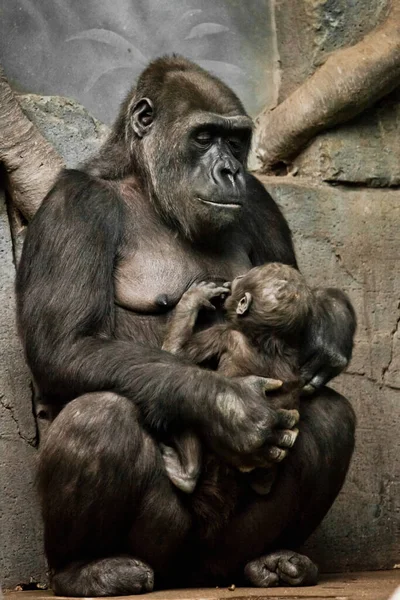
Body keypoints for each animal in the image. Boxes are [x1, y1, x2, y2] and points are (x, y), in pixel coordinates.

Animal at [161, 262, 314, 492]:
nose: (239, 276)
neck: (269, 339)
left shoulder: (224, 334)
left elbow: (175, 354)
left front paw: (195, 296)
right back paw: (263, 482)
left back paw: (185, 473)